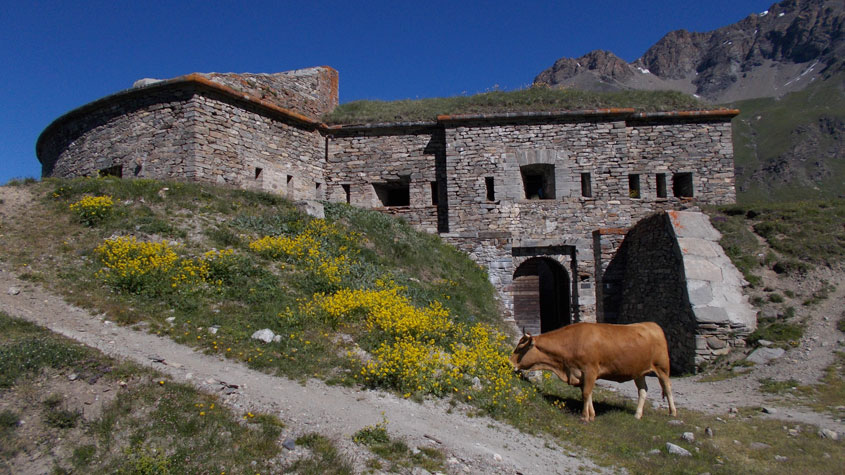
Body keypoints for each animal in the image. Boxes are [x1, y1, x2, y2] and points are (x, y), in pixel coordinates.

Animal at [508, 324, 680, 420]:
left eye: (520, 347)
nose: (509, 362)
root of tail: (653, 325)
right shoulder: (581, 374)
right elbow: (587, 393)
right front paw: (591, 414)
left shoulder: (590, 370)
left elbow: (586, 393)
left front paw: (585, 416)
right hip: (639, 372)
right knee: (643, 391)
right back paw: (637, 415)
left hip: (662, 368)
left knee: (668, 387)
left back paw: (673, 412)